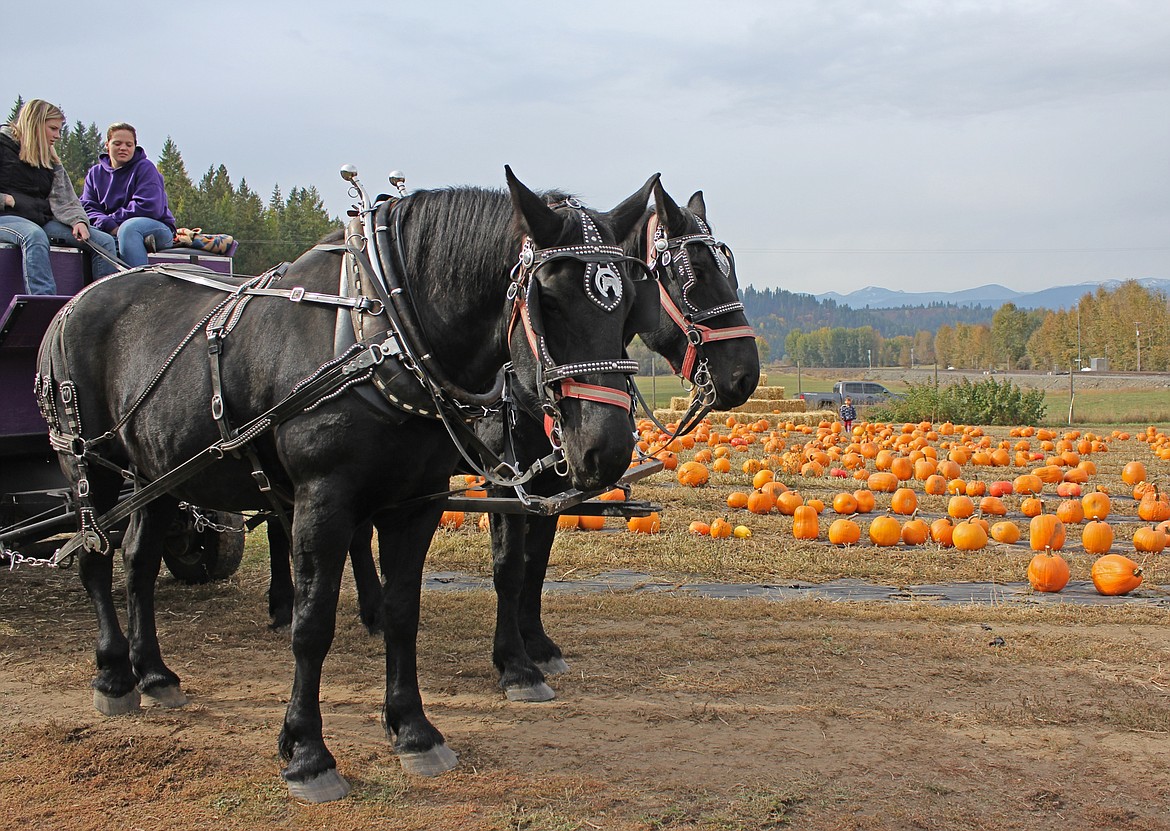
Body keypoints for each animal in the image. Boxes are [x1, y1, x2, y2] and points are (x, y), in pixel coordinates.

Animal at [36, 167, 659, 800]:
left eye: (629, 304)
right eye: (548, 299)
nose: (607, 450)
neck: (380, 331)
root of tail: (72, 307)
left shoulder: (418, 503)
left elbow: (405, 611)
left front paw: (413, 729)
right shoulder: (323, 501)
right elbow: (312, 625)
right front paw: (307, 752)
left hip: (155, 474)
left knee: (137, 563)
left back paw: (154, 672)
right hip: (92, 470)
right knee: (94, 559)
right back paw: (114, 674)